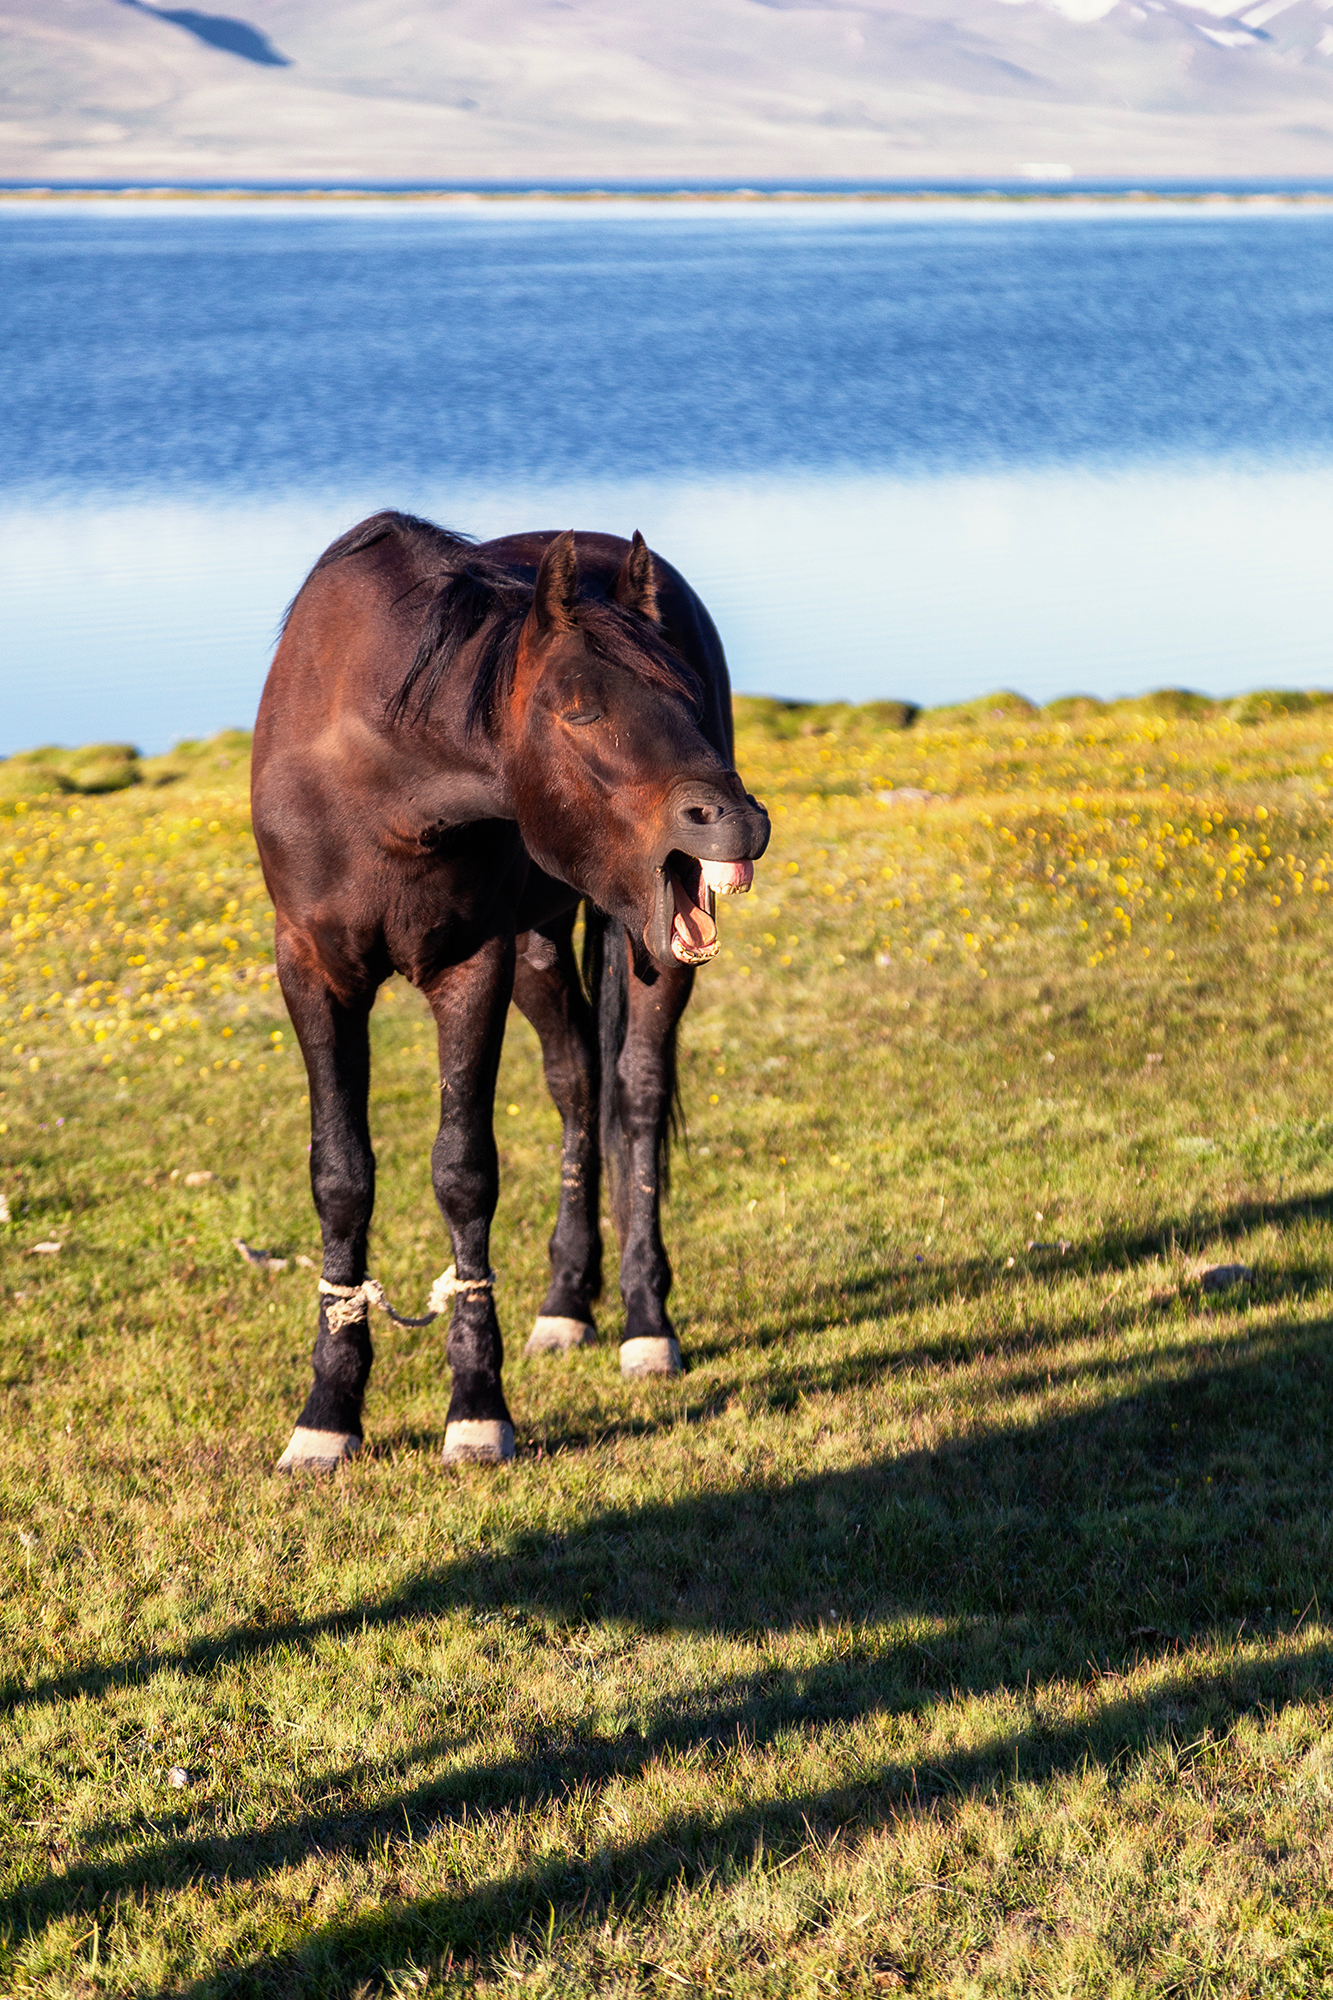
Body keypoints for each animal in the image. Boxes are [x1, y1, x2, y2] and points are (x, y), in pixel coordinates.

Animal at [253, 516, 768, 1472]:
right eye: (582, 709)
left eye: (685, 693)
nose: (739, 820)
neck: (376, 780)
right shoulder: (311, 969)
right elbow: (340, 1175)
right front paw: (328, 1415)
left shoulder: (470, 967)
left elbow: (464, 1173)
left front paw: (475, 1409)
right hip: (540, 946)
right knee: (578, 1084)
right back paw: (566, 1303)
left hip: (644, 956)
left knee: (635, 1096)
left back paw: (645, 1323)